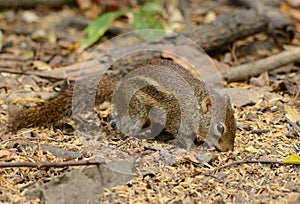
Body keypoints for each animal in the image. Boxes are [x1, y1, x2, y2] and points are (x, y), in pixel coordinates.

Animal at [7, 59, 237, 151]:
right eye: (220, 127)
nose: (228, 150)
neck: (195, 103)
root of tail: (118, 84)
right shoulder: (177, 116)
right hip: (137, 108)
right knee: (119, 125)